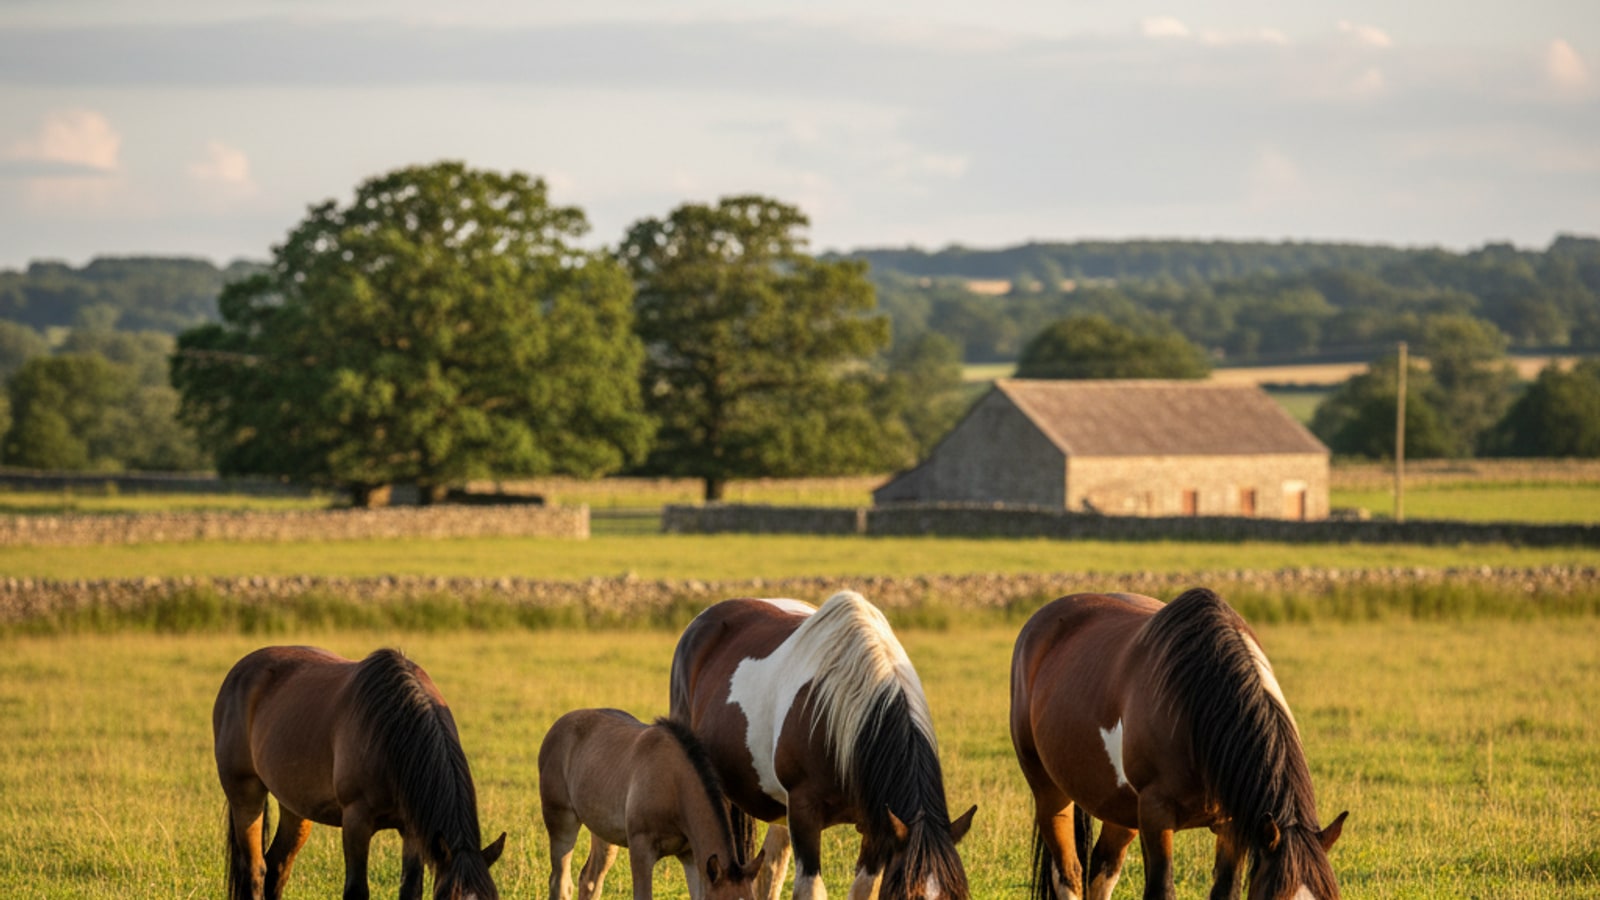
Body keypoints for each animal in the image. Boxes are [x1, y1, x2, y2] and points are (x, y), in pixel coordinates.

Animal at [213, 646, 507, 900]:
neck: (390, 733)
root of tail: (239, 670)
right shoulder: (356, 821)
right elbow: (356, 890)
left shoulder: (413, 830)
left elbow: (410, 890)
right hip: (246, 796)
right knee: (255, 871)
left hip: (295, 807)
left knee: (277, 865)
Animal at [537, 708, 765, 899]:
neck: (674, 784)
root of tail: (558, 725)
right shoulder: (641, 849)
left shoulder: (690, 856)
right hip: (561, 821)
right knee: (560, 883)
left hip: (604, 834)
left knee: (590, 881)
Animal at [669, 590, 977, 900]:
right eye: (906, 896)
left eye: (960, 895)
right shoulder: (804, 812)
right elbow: (811, 889)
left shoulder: (877, 824)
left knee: (770, 868)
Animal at [1010, 588, 1347, 900]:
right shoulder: (1157, 813)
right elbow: (1161, 890)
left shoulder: (1232, 825)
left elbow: (1226, 891)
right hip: (1049, 792)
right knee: (1068, 874)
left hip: (1119, 807)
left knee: (1102, 870)